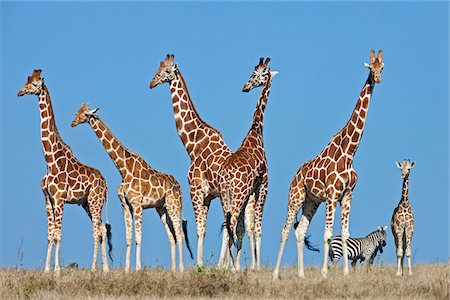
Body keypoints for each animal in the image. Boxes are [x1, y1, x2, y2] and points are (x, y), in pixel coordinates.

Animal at [17, 69, 112, 274]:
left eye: (35, 84)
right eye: (26, 81)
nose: (20, 92)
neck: (50, 160)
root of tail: (106, 184)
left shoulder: (60, 199)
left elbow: (58, 234)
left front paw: (57, 271)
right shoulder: (47, 199)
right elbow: (50, 234)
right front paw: (46, 270)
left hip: (95, 201)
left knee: (97, 230)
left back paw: (95, 269)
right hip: (86, 203)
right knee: (101, 228)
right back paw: (105, 269)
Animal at [70, 102, 192, 272]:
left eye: (85, 114)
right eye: (77, 112)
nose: (72, 123)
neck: (123, 169)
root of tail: (180, 188)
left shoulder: (137, 205)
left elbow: (138, 238)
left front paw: (138, 268)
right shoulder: (125, 205)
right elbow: (128, 238)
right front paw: (127, 270)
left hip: (174, 206)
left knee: (180, 234)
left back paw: (181, 269)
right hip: (161, 208)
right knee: (172, 237)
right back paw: (173, 270)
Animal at [149, 54, 237, 268]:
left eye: (167, 71)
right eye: (158, 68)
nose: (151, 83)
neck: (191, 144)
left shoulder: (196, 190)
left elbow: (199, 230)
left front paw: (199, 264)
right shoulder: (208, 196)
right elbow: (203, 229)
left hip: (227, 196)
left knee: (230, 226)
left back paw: (223, 265)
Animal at [270, 49, 384, 278]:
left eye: (382, 67)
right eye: (371, 67)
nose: (377, 78)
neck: (349, 153)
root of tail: (295, 175)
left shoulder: (347, 195)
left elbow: (346, 233)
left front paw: (346, 273)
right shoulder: (332, 194)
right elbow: (328, 234)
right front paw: (324, 272)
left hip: (311, 202)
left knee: (300, 231)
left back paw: (301, 274)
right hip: (296, 197)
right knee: (285, 230)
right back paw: (276, 274)